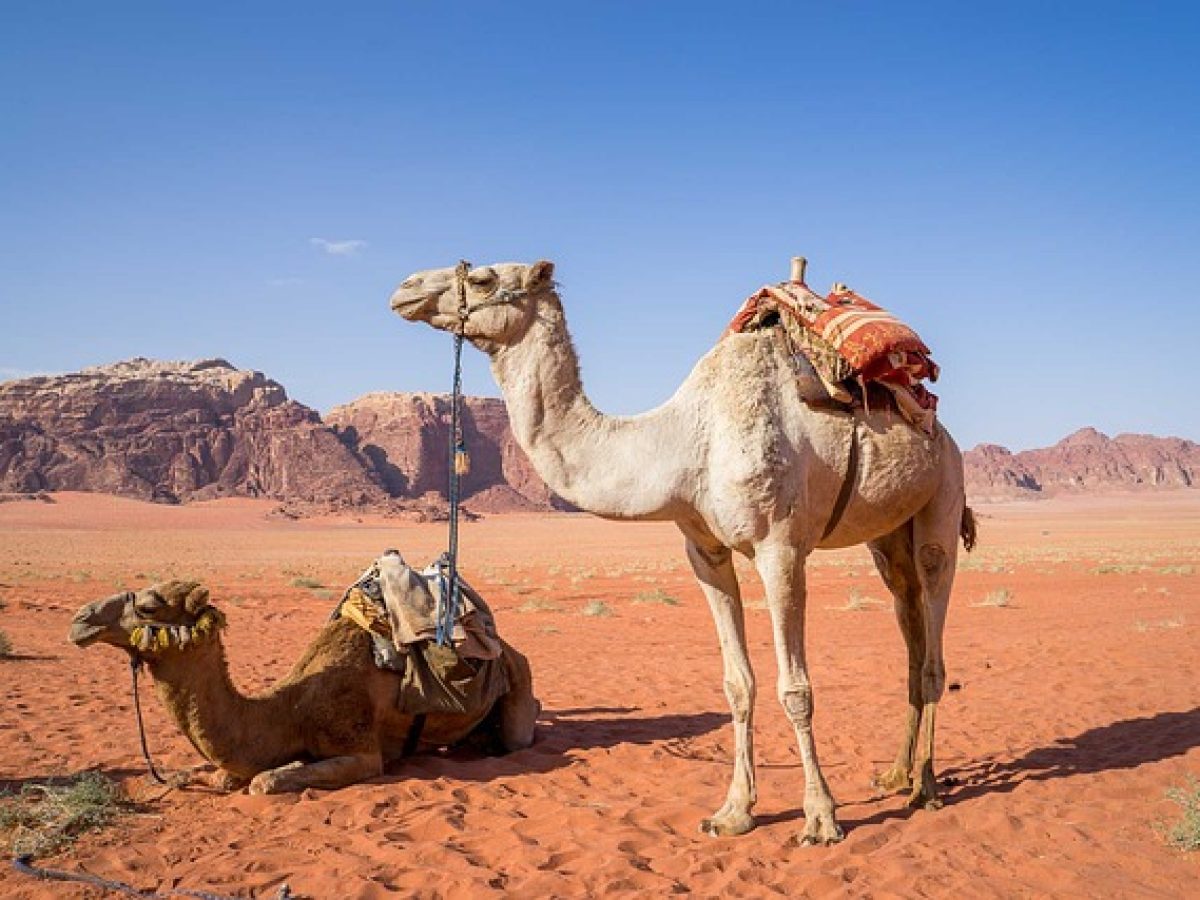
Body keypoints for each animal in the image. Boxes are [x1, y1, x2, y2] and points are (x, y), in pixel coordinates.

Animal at [68, 574, 539, 794]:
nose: (81, 620)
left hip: (518, 676)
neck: (290, 709)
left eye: (148, 606)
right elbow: (222, 775)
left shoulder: (363, 751)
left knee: (520, 733)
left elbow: (264, 781)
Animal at [390, 259, 976, 844]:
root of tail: (939, 429)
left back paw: (925, 787)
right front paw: (735, 811)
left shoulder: (780, 547)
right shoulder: (704, 551)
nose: (405, 289)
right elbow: (737, 684)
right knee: (908, 623)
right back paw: (896, 774)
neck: (685, 444)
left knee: (932, 636)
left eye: (484, 278)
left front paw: (820, 817)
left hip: (942, 496)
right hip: (887, 535)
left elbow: (795, 688)